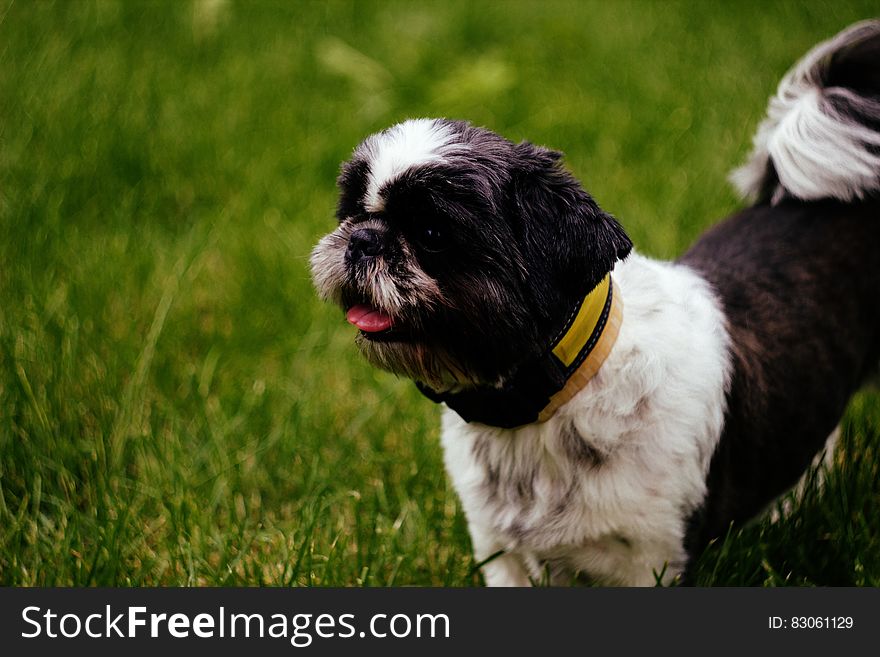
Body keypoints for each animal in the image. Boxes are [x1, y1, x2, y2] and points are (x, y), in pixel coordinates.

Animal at [310, 20, 880, 584]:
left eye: (431, 233)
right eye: (351, 212)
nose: (362, 239)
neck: (545, 404)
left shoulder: (651, 561)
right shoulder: (501, 554)